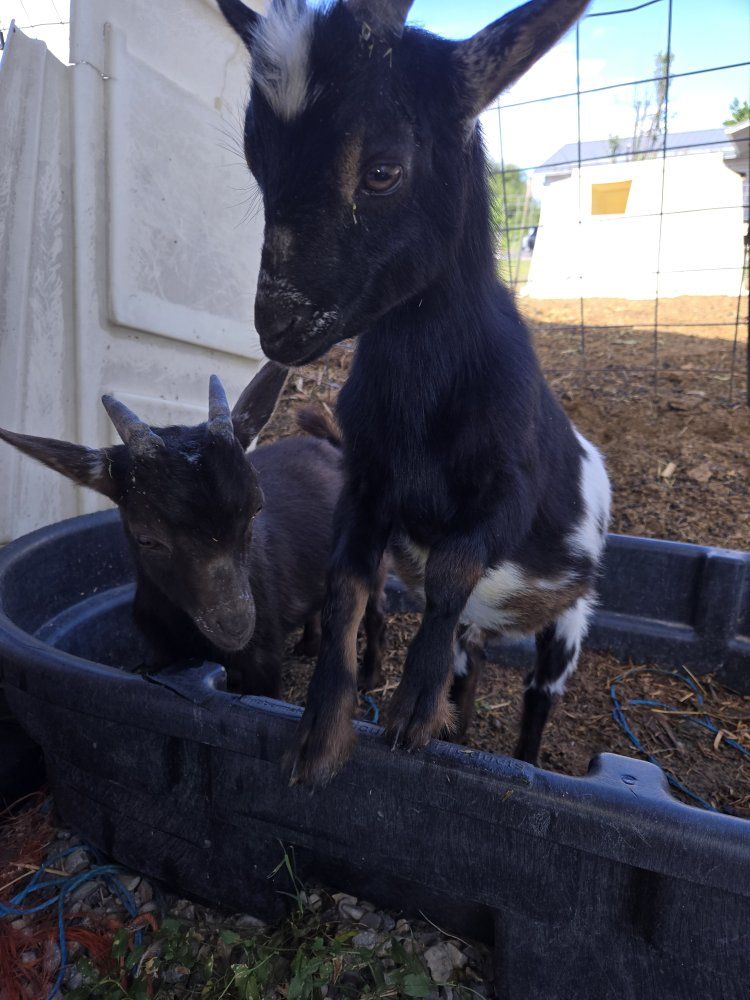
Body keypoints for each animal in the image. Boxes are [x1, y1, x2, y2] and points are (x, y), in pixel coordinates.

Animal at [0, 364, 387, 695]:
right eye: (147, 538)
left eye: (256, 509)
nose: (236, 625)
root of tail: (333, 448)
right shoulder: (161, 650)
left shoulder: (262, 661)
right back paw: (308, 645)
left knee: (374, 612)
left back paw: (369, 678)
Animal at [218, 0, 610, 783]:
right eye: (256, 158)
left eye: (382, 170)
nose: (280, 325)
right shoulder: (365, 482)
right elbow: (345, 586)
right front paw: (321, 735)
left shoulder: (508, 488)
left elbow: (456, 562)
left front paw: (406, 716)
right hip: (484, 625)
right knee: (473, 654)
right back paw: (456, 722)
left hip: (569, 616)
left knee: (537, 696)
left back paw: (522, 758)